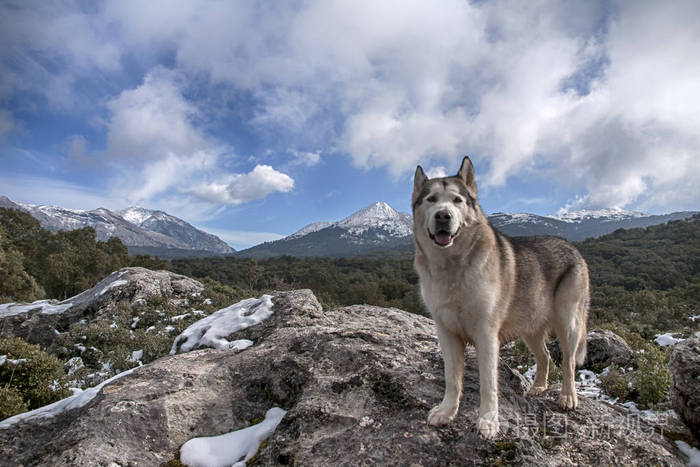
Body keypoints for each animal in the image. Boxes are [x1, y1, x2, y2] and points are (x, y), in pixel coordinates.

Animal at [412, 157, 588, 438]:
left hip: (569, 324)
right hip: (530, 327)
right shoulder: (446, 333)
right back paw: (538, 387)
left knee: (569, 363)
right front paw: (447, 411)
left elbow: (488, 384)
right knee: (545, 356)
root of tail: (573, 247)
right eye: (431, 199)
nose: (443, 215)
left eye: (457, 200)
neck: (453, 267)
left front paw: (488, 421)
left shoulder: (486, 335)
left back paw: (568, 397)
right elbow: (452, 379)